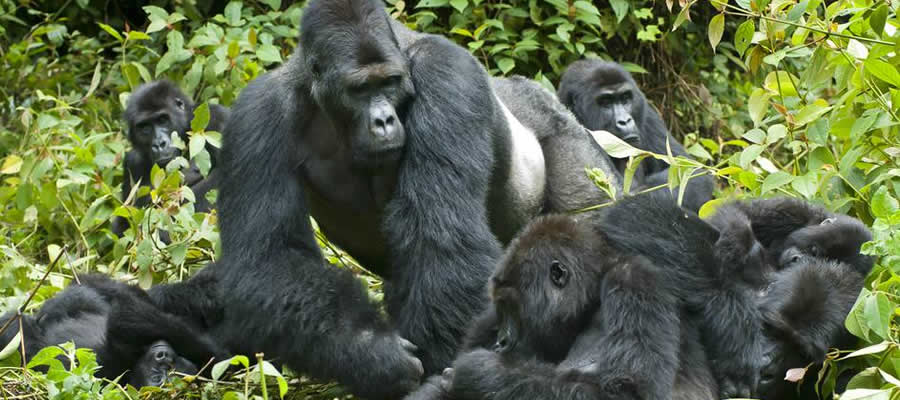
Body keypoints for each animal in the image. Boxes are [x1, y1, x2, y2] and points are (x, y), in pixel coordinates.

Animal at [0, 272, 225, 388]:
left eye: (160, 377)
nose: (163, 355)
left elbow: (124, 321)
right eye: (165, 366)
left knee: (18, 332)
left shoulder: (109, 371)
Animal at [111, 79, 230, 239]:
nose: (159, 144)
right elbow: (125, 224)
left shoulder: (217, 118)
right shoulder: (132, 162)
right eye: (145, 127)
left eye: (163, 120)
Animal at [214, 0, 620, 396]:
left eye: (389, 82)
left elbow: (439, 234)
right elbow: (269, 256)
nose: (383, 121)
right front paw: (371, 353)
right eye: (359, 89)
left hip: (566, 134)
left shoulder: (446, 71)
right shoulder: (257, 113)